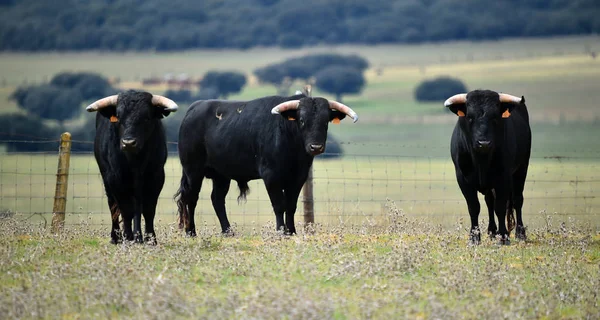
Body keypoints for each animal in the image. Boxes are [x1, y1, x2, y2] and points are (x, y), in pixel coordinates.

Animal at [176, 92, 358, 235]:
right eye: (301, 120)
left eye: (325, 121)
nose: (316, 147)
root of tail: (194, 108)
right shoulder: (271, 176)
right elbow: (279, 205)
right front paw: (281, 232)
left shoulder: (298, 177)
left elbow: (291, 205)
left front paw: (291, 232)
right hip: (193, 171)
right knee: (191, 198)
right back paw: (191, 232)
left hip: (221, 175)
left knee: (217, 199)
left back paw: (228, 231)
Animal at [446, 90, 536, 245]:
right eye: (470, 117)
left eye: (494, 117)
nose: (484, 143)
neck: (481, 161)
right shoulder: (463, 178)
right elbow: (474, 207)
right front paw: (474, 238)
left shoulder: (503, 177)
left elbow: (500, 207)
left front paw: (504, 237)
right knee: (489, 202)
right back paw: (492, 232)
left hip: (521, 169)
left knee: (517, 200)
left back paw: (520, 233)